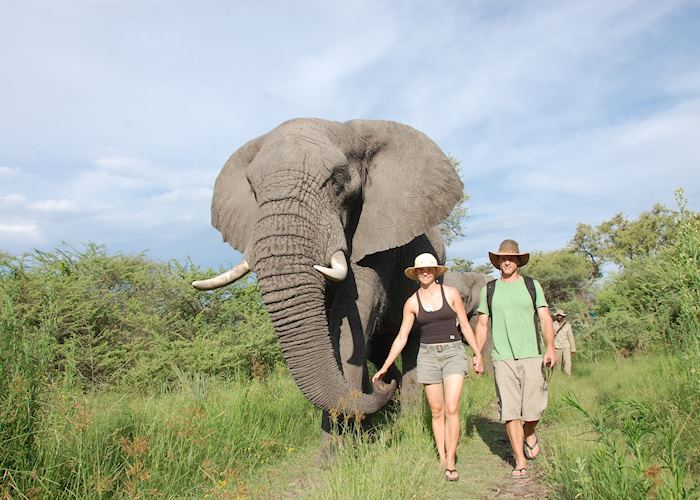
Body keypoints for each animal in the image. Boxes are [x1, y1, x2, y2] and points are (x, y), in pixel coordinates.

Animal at [193, 117, 464, 434]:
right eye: (254, 192)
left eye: (338, 182)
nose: (381, 386)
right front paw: (359, 434)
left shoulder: (376, 235)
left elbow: (350, 321)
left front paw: (340, 445)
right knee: (378, 347)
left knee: (412, 345)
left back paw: (408, 423)